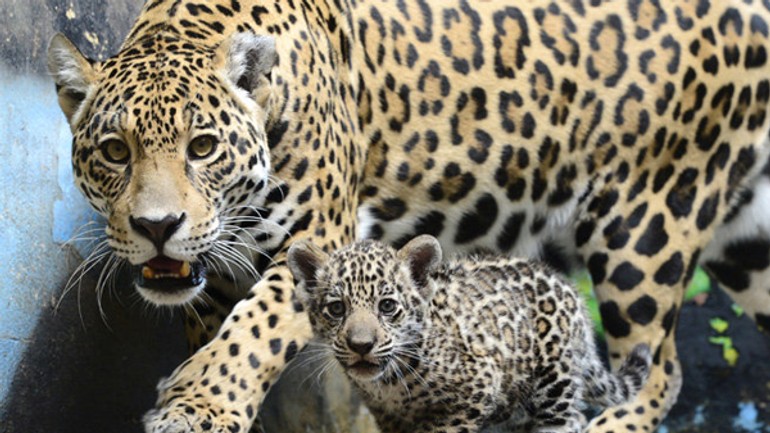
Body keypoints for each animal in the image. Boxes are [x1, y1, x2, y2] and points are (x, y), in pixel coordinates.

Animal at [288, 235, 653, 433]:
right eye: (337, 309)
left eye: (387, 306)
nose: (361, 345)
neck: (389, 385)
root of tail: (570, 291)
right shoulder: (389, 418)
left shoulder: (476, 388)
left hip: (554, 384)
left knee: (570, 418)